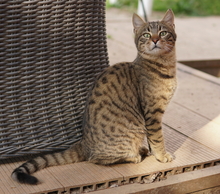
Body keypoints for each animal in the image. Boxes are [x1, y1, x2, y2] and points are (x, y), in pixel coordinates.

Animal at [12, 9, 177, 185]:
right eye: (146, 34)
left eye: (163, 32)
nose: (155, 39)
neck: (165, 66)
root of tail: (84, 143)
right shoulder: (152, 113)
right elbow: (157, 138)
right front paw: (162, 156)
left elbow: (153, 139)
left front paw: (155, 153)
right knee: (96, 159)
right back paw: (134, 156)